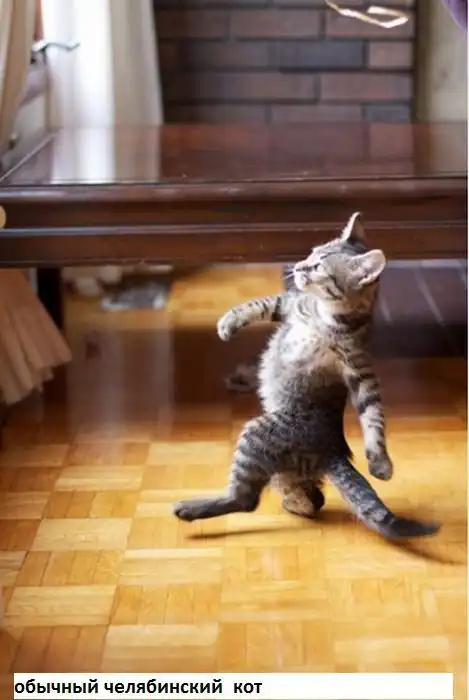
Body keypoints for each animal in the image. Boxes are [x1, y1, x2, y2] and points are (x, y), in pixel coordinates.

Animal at [174, 212, 440, 540]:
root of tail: (331, 449)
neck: (325, 315)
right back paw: (295, 501)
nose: (298, 265)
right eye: (312, 254)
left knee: (247, 500)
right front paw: (229, 322)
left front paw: (380, 462)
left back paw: (193, 508)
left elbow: (373, 414)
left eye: (318, 266)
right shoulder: (290, 304)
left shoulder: (360, 369)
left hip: (258, 432)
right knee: (310, 497)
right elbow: (259, 304)